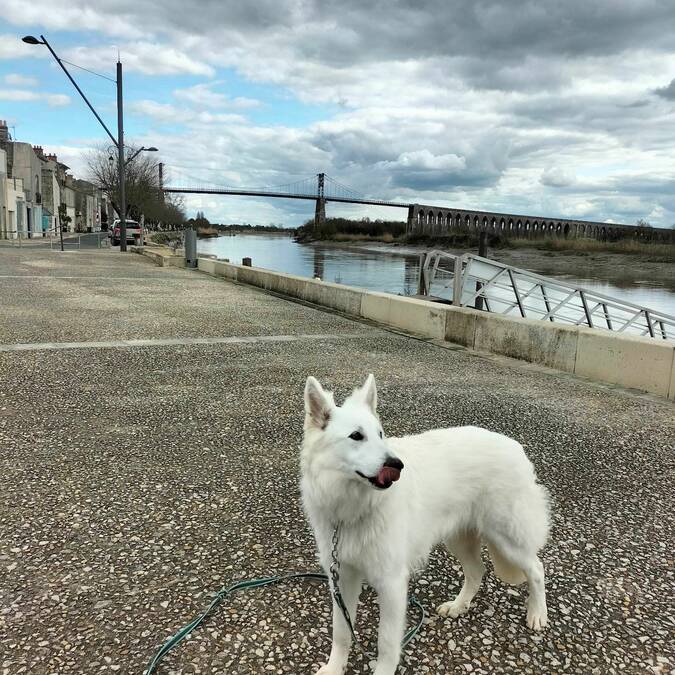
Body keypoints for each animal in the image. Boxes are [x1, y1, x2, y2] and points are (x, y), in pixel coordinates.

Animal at [302, 374, 548, 675]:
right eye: (356, 436)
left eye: (380, 434)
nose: (396, 464)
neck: (353, 506)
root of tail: (516, 447)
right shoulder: (342, 578)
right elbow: (341, 631)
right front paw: (335, 667)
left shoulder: (392, 584)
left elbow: (386, 643)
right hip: (460, 540)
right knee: (477, 571)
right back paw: (458, 606)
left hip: (506, 539)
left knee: (536, 569)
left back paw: (537, 614)